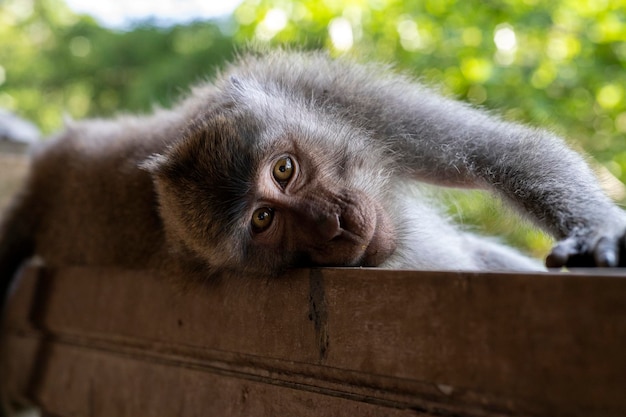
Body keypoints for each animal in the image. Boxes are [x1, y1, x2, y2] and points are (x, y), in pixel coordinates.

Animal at [1, 49, 624, 302]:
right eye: (263, 220)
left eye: (284, 169)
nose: (334, 222)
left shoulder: (326, 92)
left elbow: (506, 153)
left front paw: (598, 236)